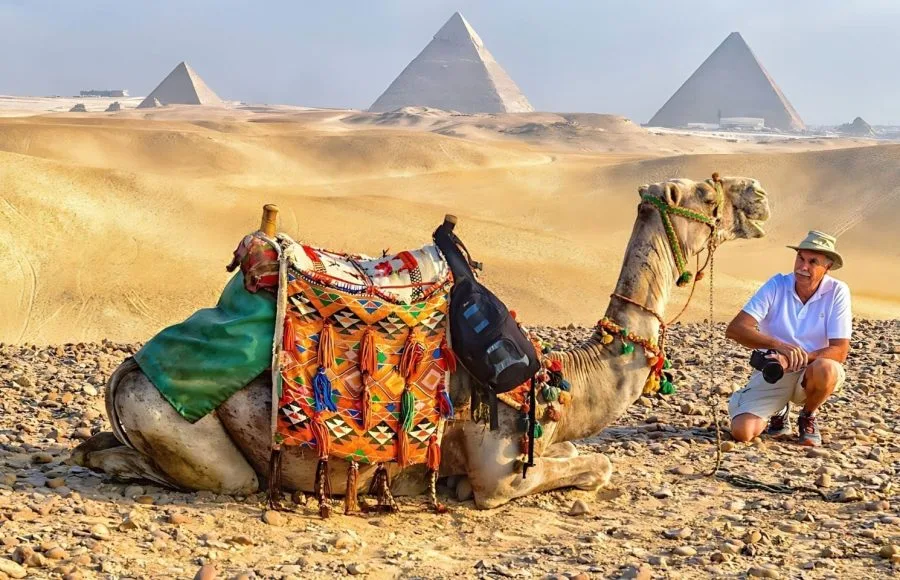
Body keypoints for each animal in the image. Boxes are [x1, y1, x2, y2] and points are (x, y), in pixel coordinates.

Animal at [72, 175, 770, 509]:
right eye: (708, 190)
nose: (758, 195)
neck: (563, 382)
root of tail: (125, 372)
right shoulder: (499, 470)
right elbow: (598, 467)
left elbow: (592, 461)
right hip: (180, 428)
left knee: (99, 444)